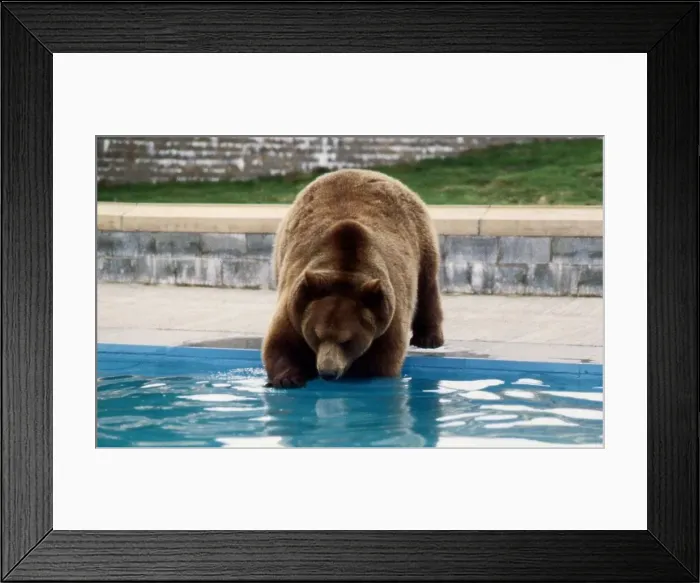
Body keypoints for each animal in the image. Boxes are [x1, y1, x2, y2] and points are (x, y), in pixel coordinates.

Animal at [262, 168, 444, 388]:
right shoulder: (296, 303)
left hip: (421, 239)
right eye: (316, 334)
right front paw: (288, 378)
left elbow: (382, 362)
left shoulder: (386, 318)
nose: (327, 372)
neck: (345, 268)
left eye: (346, 341)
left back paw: (429, 338)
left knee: (427, 286)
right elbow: (281, 343)